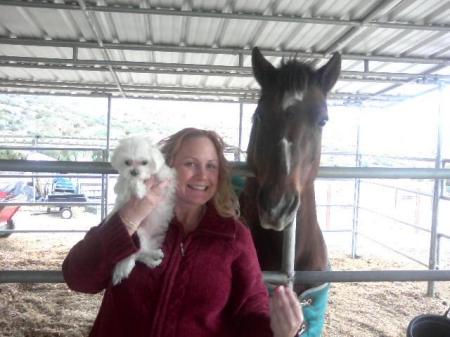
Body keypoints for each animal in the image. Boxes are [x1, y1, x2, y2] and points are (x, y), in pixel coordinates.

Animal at [110, 135, 177, 284]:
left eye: (144, 162)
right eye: (127, 162)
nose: (134, 172)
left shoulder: (166, 180)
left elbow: (163, 174)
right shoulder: (123, 186)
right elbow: (129, 182)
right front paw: (139, 190)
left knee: (141, 253)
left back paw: (154, 257)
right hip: (138, 233)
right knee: (136, 253)